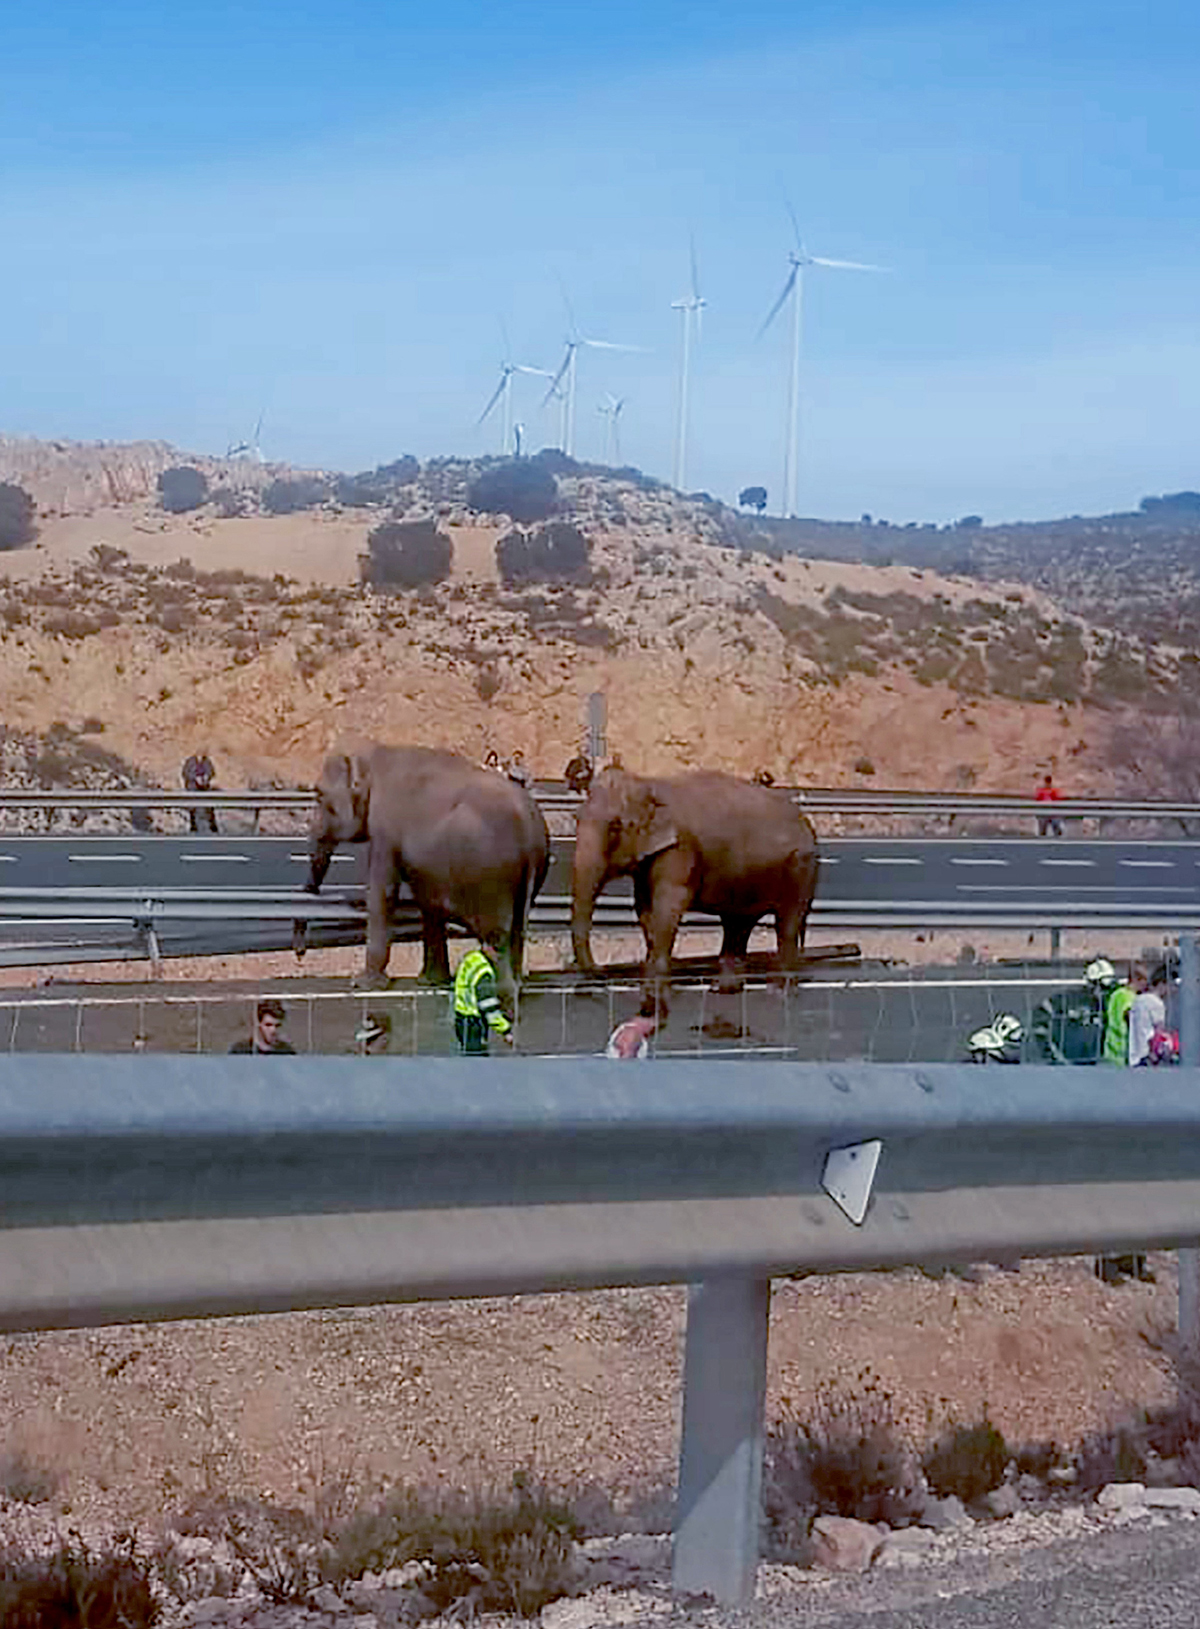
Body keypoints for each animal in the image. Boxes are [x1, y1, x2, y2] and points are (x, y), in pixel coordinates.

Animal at [309, 742, 553, 990]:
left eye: (319, 794)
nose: (312, 890)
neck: (375, 753)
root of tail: (529, 831)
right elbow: (428, 903)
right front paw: (429, 981)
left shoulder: (386, 827)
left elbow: (382, 893)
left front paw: (363, 984)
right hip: (531, 873)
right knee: (517, 931)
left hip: (491, 877)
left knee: (494, 939)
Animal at [569, 768, 814, 1009]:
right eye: (576, 819)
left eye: (615, 827)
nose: (602, 970)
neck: (650, 783)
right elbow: (645, 908)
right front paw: (655, 993)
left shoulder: (680, 849)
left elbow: (668, 906)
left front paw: (654, 998)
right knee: (737, 923)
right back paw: (723, 989)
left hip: (799, 868)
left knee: (786, 924)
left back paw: (778, 991)